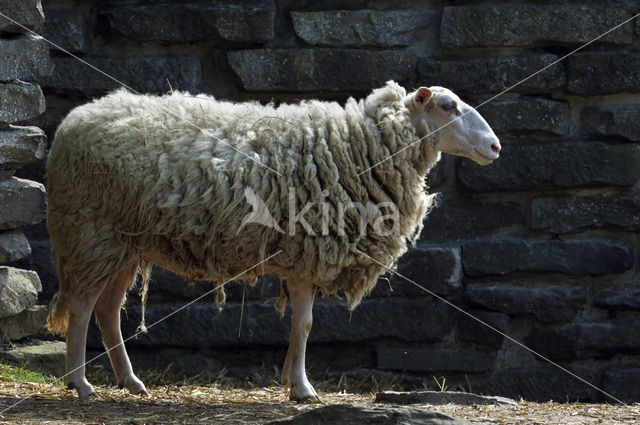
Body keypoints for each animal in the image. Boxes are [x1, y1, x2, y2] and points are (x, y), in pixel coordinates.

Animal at [45, 80, 500, 400]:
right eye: (447, 107)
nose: (495, 146)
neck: (362, 148)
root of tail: (74, 121)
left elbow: (302, 323)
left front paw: (290, 380)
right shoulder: (306, 252)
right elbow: (305, 323)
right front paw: (301, 387)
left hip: (124, 243)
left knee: (107, 310)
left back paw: (130, 381)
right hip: (93, 233)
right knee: (83, 307)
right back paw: (80, 385)